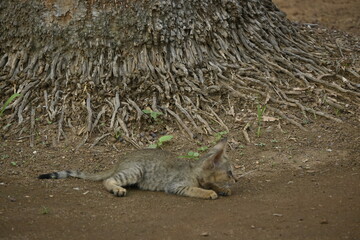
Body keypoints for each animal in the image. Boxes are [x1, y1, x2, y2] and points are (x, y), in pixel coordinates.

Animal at [38, 138, 236, 200]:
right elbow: (195, 189)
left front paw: (221, 188)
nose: (236, 180)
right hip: (136, 171)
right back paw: (117, 189)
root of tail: (121, 160)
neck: (194, 170)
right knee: (107, 180)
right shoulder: (175, 185)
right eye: (230, 172)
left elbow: (210, 184)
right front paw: (208, 192)